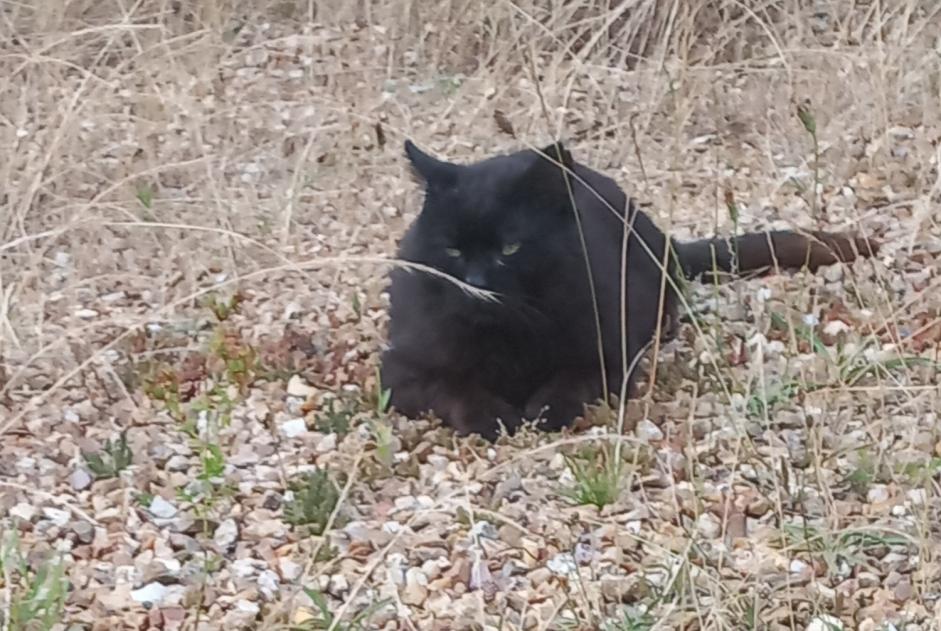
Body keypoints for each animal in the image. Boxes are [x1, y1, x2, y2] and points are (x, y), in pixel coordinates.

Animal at [378, 141, 876, 442]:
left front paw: (544, 410)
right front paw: (493, 415)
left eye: (510, 248)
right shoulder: (403, 369)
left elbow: (572, 381)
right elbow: (454, 388)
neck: (509, 337)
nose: (475, 287)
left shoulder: (611, 354)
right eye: (452, 250)